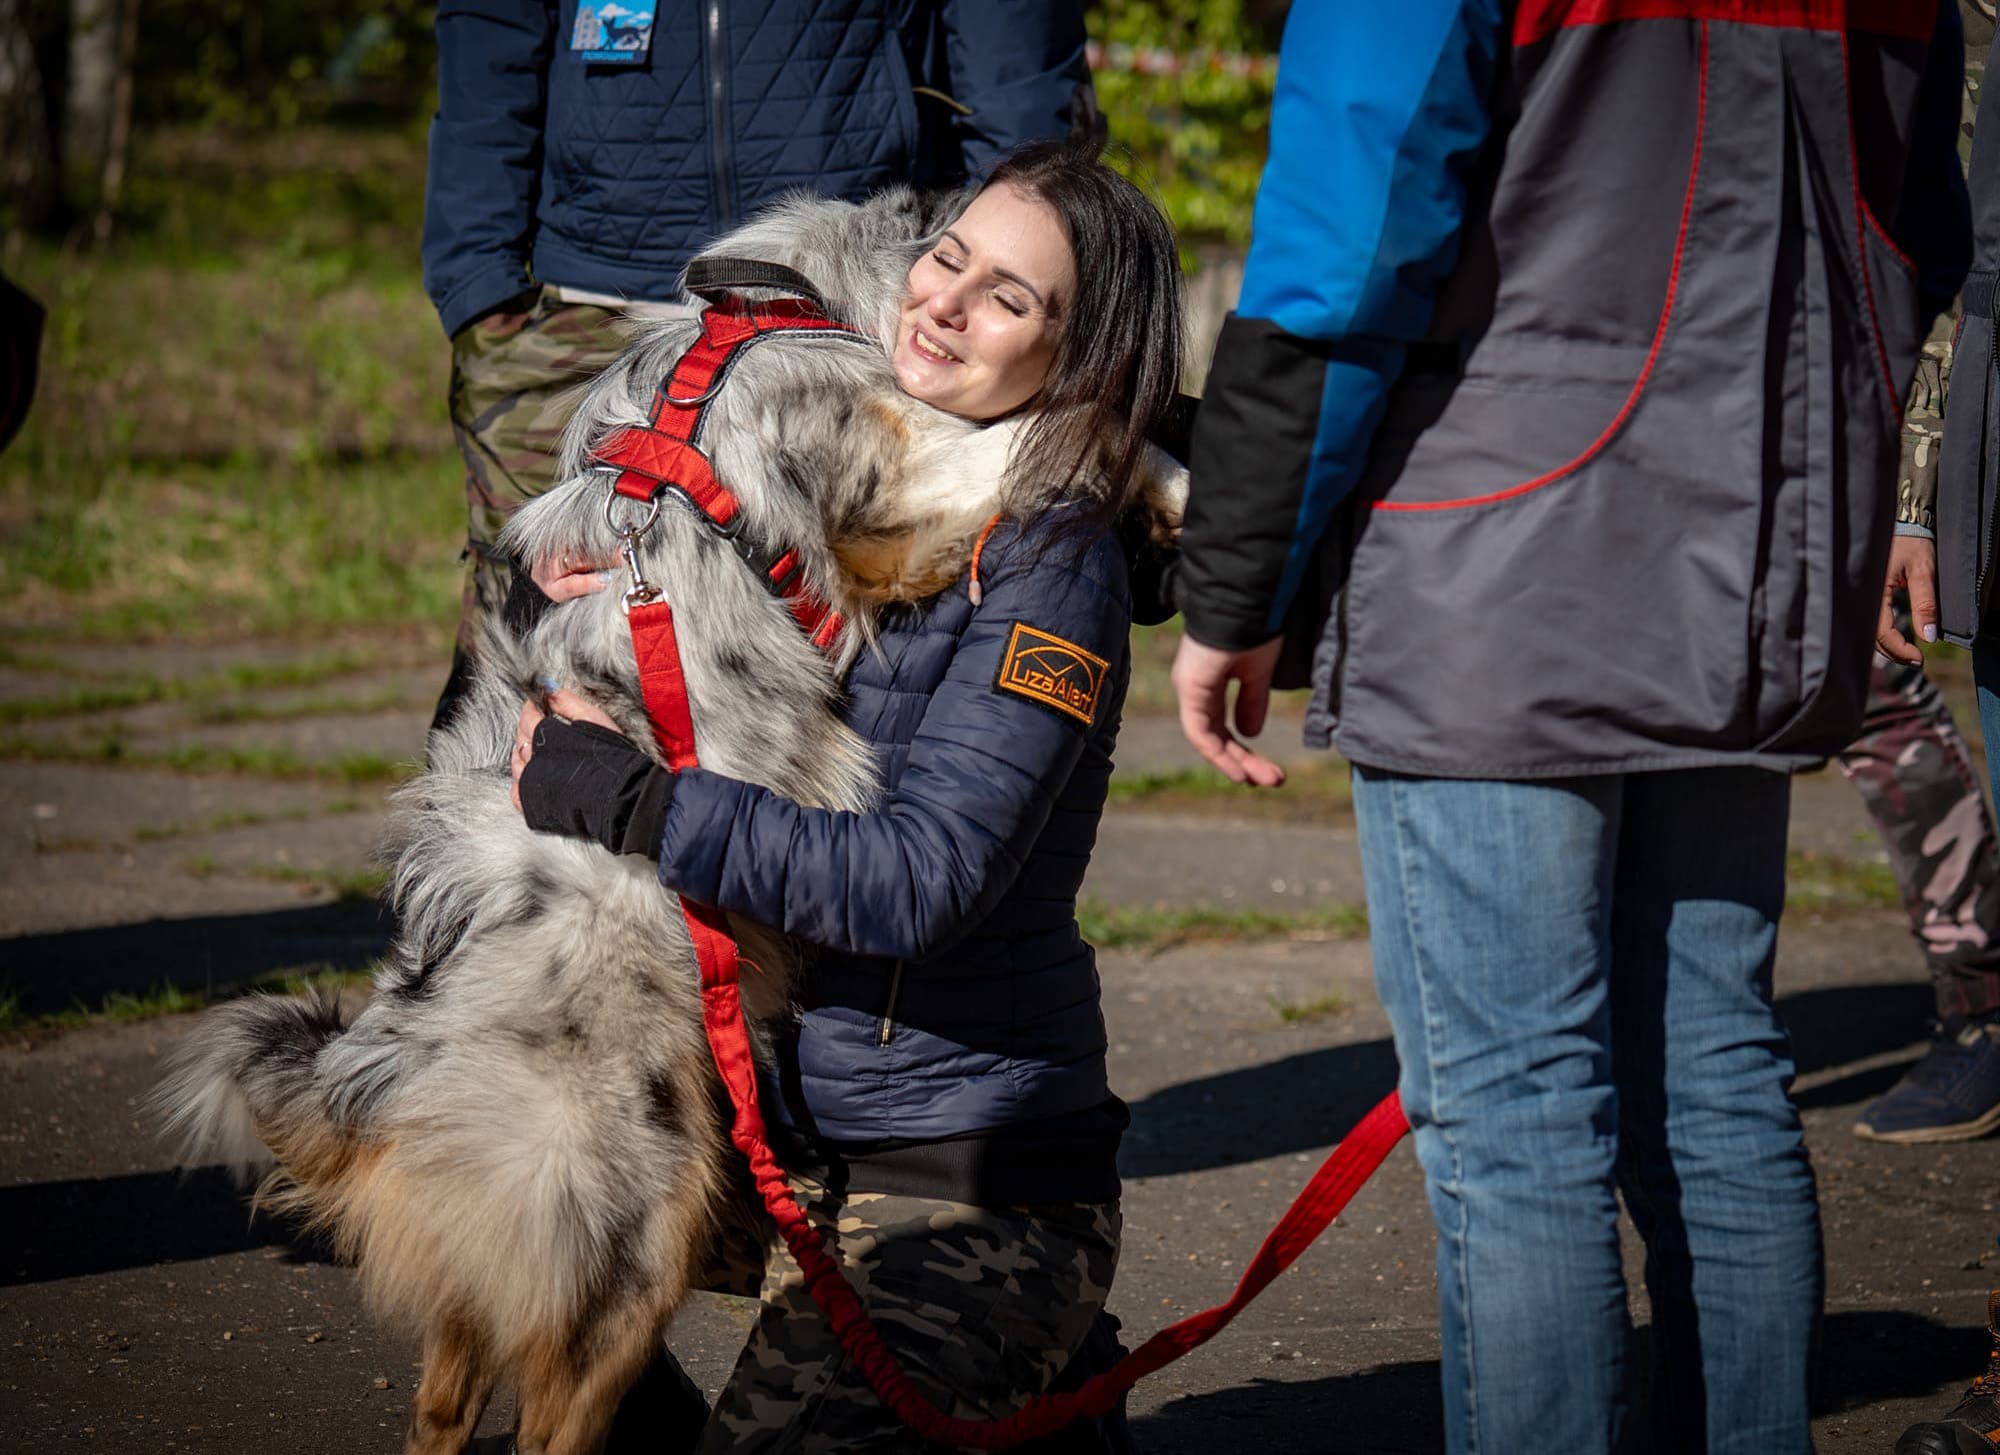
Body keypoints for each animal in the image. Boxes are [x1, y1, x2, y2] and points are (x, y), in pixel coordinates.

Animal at [160, 190, 1184, 1455]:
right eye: (962, 270)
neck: (764, 311)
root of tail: (381, 1066)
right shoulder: (894, 486)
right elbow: (1048, 428)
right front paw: (1162, 467)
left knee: (445, 1396)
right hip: (636, 1234)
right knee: (548, 1413)